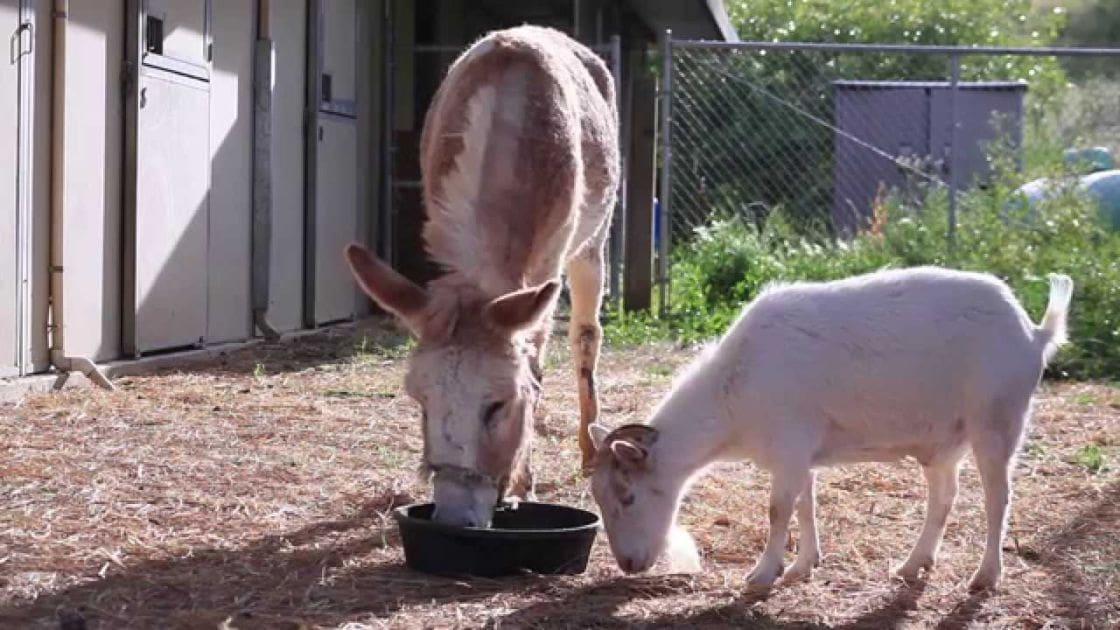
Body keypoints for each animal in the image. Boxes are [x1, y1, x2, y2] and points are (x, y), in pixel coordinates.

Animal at [345, 25, 618, 527]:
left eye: (500, 405)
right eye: (420, 402)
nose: (455, 516)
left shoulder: (548, 263)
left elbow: (536, 363)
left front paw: (523, 485)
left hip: (593, 241)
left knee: (586, 336)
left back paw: (590, 449)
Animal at [589, 266, 1073, 592]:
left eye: (628, 496)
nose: (628, 564)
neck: (734, 389)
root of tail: (1035, 334)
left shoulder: (790, 444)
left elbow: (778, 509)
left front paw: (762, 574)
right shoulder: (800, 454)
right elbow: (805, 504)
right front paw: (803, 566)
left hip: (997, 419)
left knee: (997, 499)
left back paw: (984, 577)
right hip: (945, 441)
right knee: (943, 498)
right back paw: (911, 566)